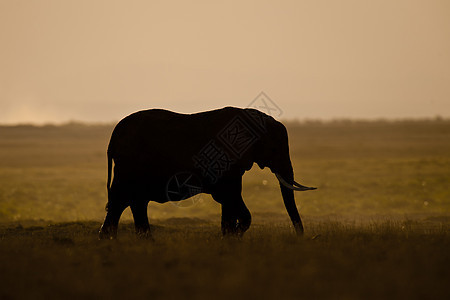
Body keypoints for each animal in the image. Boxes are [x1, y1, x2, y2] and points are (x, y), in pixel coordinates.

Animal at [98, 106, 316, 240]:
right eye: (274, 149)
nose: (300, 237)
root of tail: (112, 138)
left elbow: (229, 201)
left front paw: (229, 238)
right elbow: (230, 198)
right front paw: (235, 235)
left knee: (133, 202)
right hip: (130, 166)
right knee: (122, 200)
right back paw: (112, 241)